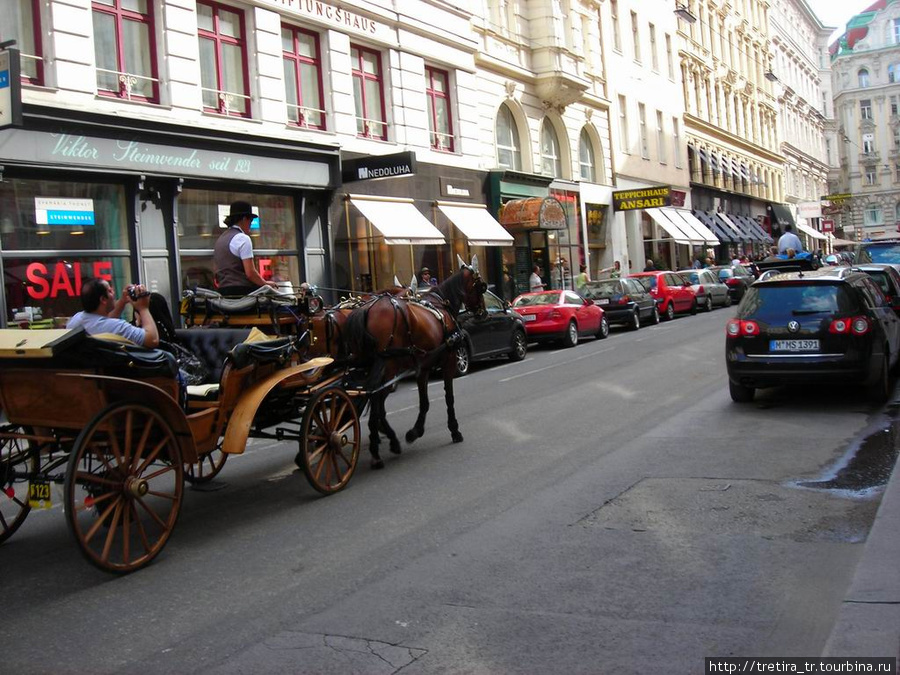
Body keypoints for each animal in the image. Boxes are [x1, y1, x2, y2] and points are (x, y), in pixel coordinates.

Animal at [344, 258, 486, 470]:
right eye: (481, 286)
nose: (484, 312)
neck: (441, 304)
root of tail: (366, 309)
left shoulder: (423, 367)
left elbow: (424, 402)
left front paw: (414, 431)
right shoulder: (449, 360)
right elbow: (448, 397)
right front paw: (454, 430)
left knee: (375, 401)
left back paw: (387, 442)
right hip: (388, 368)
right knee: (376, 399)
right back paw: (379, 450)